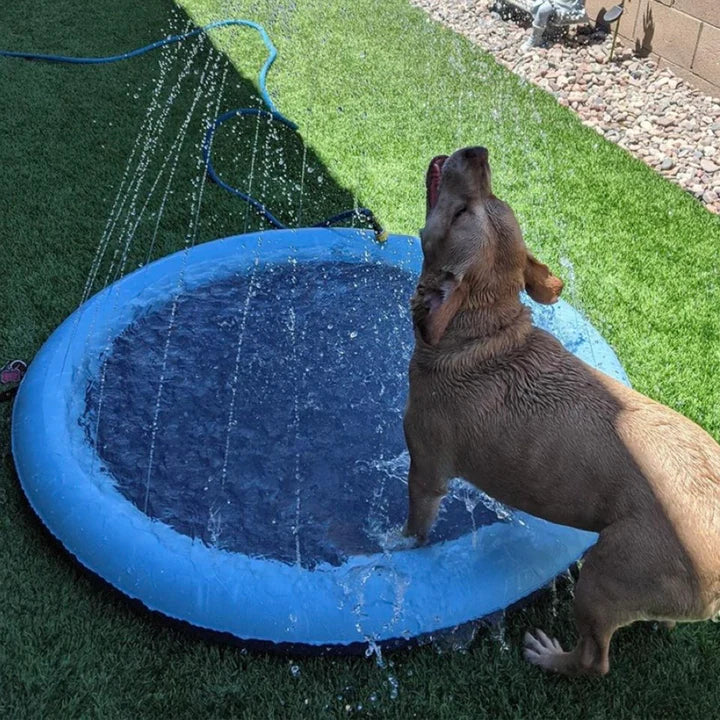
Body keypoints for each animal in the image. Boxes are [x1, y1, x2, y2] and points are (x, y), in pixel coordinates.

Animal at [402, 145, 720, 676]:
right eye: (494, 197)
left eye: (462, 212)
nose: (478, 152)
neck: (484, 329)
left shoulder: (425, 470)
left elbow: (414, 529)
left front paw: (398, 545)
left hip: (603, 578)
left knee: (595, 660)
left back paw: (551, 657)